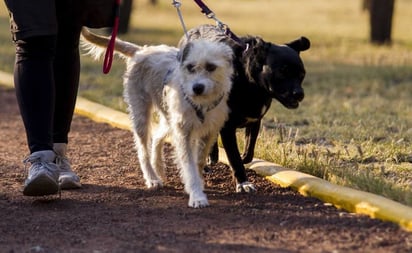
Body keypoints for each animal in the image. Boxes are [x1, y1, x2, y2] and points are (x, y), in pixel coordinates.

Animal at [81, 28, 232, 208]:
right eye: (190, 67)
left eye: (211, 67)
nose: (197, 88)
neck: (200, 103)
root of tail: (141, 50)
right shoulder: (183, 133)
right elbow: (188, 165)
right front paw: (196, 195)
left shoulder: (209, 131)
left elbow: (199, 161)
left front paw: (198, 183)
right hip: (141, 116)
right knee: (142, 150)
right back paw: (152, 177)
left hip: (168, 117)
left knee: (158, 137)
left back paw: (158, 165)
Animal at [179, 24, 310, 193]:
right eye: (282, 72)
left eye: (302, 74)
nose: (299, 94)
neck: (253, 87)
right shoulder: (228, 128)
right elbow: (234, 157)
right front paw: (243, 182)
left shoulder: (255, 121)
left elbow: (249, 152)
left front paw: (243, 160)